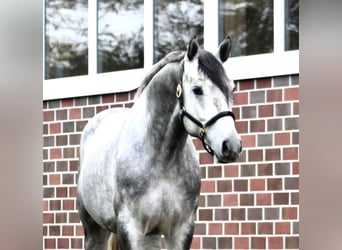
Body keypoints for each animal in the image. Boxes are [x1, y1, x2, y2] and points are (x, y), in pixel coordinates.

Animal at [77, 35, 243, 250]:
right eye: (197, 90)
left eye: (231, 88)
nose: (231, 145)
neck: (162, 158)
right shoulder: (129, 229)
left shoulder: (182, 230)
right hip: (94, 229)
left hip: (151, 236)